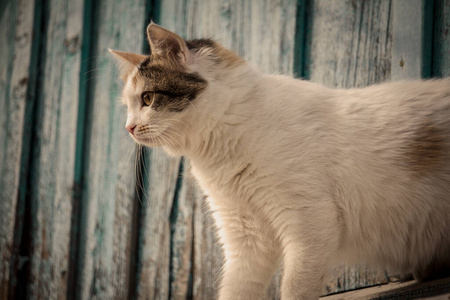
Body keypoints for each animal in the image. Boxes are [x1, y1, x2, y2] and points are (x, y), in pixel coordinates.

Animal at [110, 22, 450, 298]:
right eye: (128, 106)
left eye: (148, 99)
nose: (128, 128)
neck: (221, 144)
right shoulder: (246, 236)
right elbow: (237, 289)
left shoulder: (310, 221)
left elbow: (295, 288)